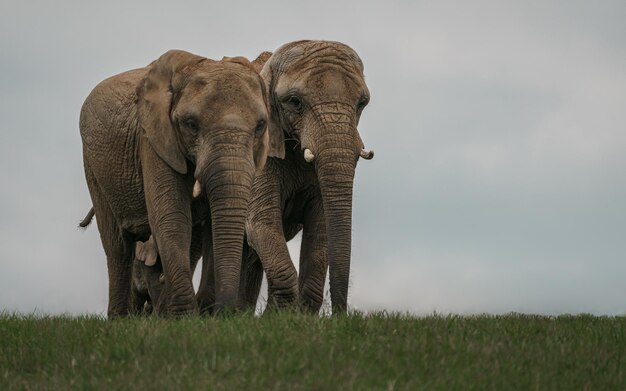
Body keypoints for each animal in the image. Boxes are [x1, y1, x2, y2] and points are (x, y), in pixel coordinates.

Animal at [78, 49, 278, 318]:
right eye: (191, 124)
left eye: (260, 126)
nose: (226, 313)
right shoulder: (154, 140)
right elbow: (171, 216)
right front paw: (184, 317)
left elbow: (213, 226)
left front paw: (202, 315)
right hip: (94, 168)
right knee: (117, 246)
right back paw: (120, 319)